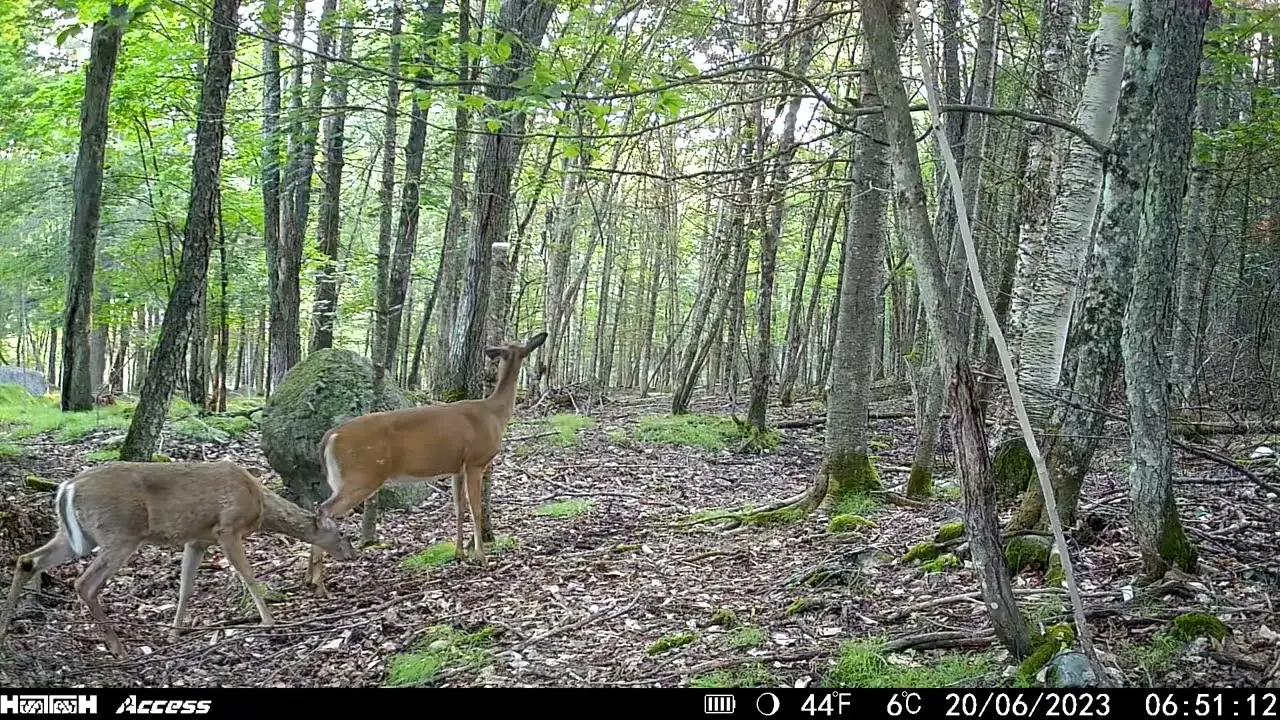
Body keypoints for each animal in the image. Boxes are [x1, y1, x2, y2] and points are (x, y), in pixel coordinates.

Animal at [0, 458, 355, 655]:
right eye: (341, 533)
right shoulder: (227, 528)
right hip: (121, 532)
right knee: (84, 583)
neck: (259, 505)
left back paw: (5, 629)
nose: (352, 554)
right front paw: (270, 623)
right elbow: (249, 576)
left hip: (78, 537)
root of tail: (66, 488)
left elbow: (185, 588)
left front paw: (173, 633)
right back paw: (118, 648)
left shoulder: (198, 539)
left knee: (27, 560)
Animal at [309, 327, 550, 591]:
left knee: (317, 509)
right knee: (323, 510)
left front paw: (459, 553)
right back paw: (318, 581)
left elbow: (458, 507)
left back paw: (310, 578)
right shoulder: (475, 461)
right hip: (361, 477)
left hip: (344, 478)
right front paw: (481, 557)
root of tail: (330, 436)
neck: (495, 413)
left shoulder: (457, 467)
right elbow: (476, 509)